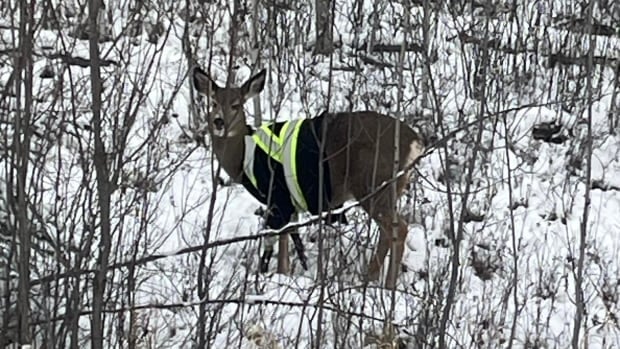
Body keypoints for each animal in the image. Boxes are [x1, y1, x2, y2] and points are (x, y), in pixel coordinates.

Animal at [191, 65, 428, 288]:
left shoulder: (278, 194)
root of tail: (415, 142)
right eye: (213, 103)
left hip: (373, 183)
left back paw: (380, 284)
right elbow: (290, 236)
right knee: (390, 231)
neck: (242, 156)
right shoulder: (289, 202)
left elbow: (281, 238)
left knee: (398, 228)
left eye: (236, 105)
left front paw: (280, 274)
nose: (219, 122)